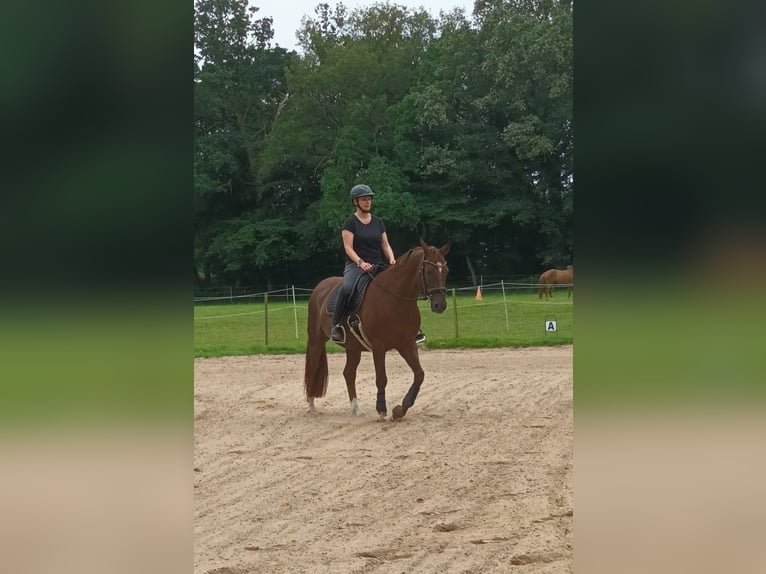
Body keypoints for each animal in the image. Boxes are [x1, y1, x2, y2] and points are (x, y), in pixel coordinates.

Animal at [306, 241, 450, 420]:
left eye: (446, 271)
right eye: (429, 271)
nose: (440, 305)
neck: (395, 298)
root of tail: (320, 287)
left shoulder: (407, 344)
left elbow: (419, 374)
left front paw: (400, 409)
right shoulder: (379, 347)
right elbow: (381, 378)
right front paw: (382, 409)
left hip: (353, 347)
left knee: (349, 373)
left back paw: (356, 408)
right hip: (316, 339)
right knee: (313, 367)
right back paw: (310, 404)